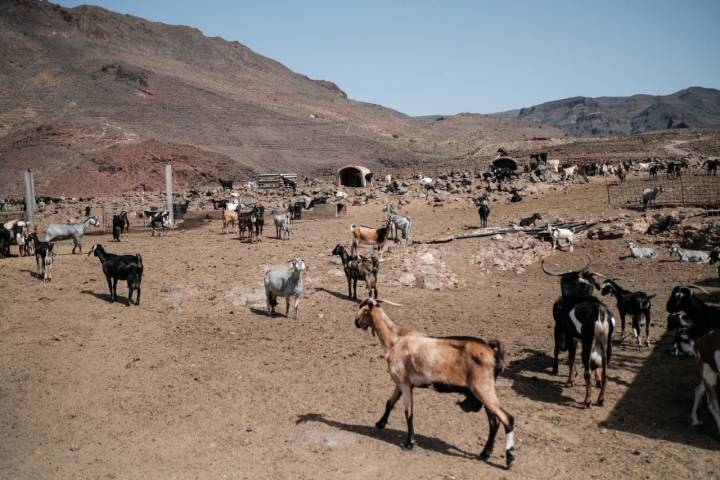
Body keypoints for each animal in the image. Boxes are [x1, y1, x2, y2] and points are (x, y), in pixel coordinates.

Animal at [356, 300, 516, 468]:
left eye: (363, 309)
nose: (356, 322)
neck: (395, 340)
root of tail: (493, 352)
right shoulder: (401, 383)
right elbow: (390, 403)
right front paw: (380, 423)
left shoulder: (405, 385)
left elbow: (408, 413)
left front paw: (409, 443)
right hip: (483, 392)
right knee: (494, 422)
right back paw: (485, 453)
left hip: (483, 389)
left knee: (508, 419)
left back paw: (509, 457)